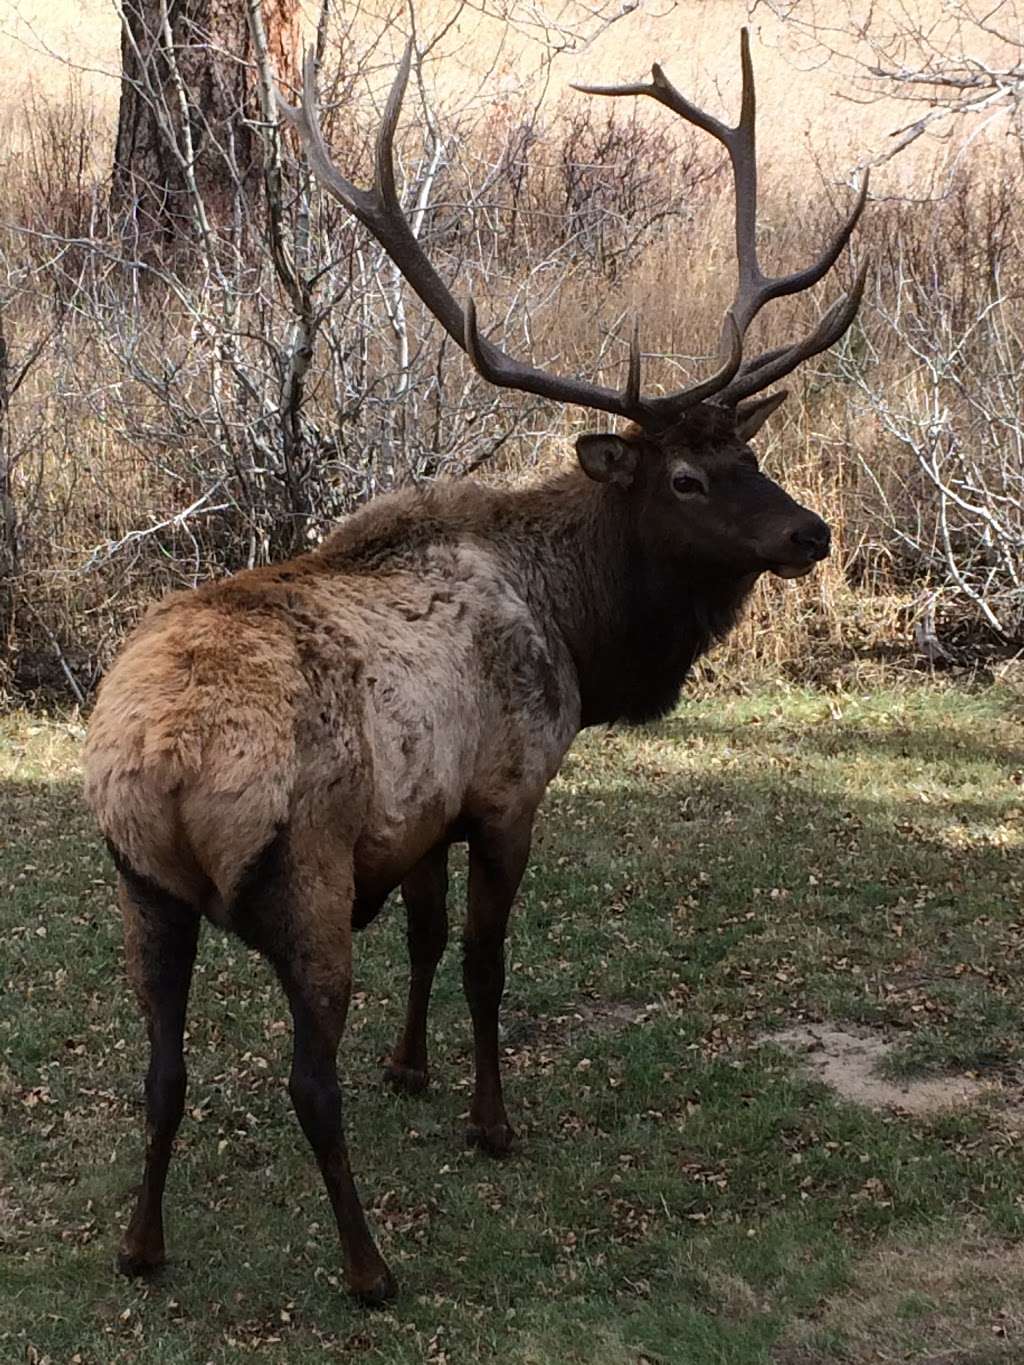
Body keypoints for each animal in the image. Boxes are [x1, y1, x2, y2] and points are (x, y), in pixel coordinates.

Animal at [88, 32, 868, 1299]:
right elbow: (486, 961)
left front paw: (412, 1069)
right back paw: (368, 1268)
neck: (580, 633)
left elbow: (426, 935)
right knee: (305, 1081)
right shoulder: (508, 786)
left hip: (139, 885)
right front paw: (489, 1120)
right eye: (687, 478)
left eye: (750, 453)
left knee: (162, 1071)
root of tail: (158, 762)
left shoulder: (421, 814)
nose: (811, 534)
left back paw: (140, 1246)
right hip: (301, 872)